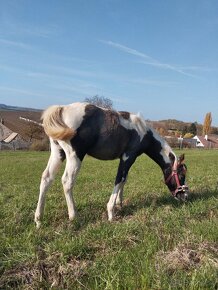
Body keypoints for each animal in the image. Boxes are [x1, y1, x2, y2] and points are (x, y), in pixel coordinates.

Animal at [35, 103, 188, 228]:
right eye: (181, 175)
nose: (185, 196)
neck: (142, 131)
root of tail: (62, 109)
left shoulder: (127, 160)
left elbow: (124, 180)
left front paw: (120, 203)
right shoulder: (127, 157)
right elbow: (119, 179)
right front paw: (111, 212)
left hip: (58, 153)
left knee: (46, 178)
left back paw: (38, 219)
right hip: (75, 157)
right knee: (67, 182)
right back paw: (73, 216)